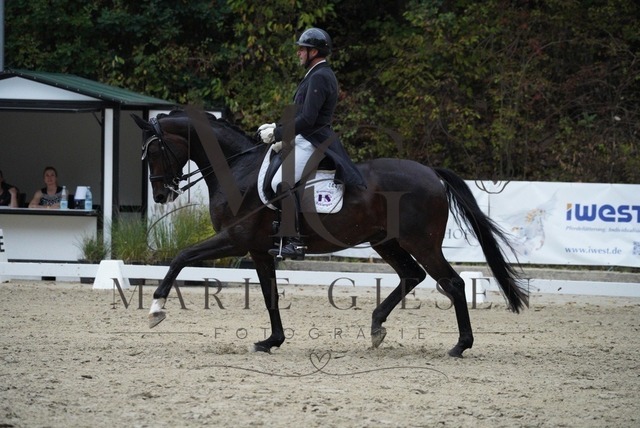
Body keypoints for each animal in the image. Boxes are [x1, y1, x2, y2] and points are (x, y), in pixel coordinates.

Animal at [132, 108, 528, 358]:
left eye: (155, 151)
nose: (161, 195)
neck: (237, 170)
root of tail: (431, 172)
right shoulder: (258, 249)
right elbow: (270, 295)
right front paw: (271, 341)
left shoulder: (235, 239)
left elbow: (181, 256)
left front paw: (155, 309)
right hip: (386, 241)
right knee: (412, 275)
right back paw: (377, 328)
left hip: (421, 242)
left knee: (452, 283)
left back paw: (460, 346)